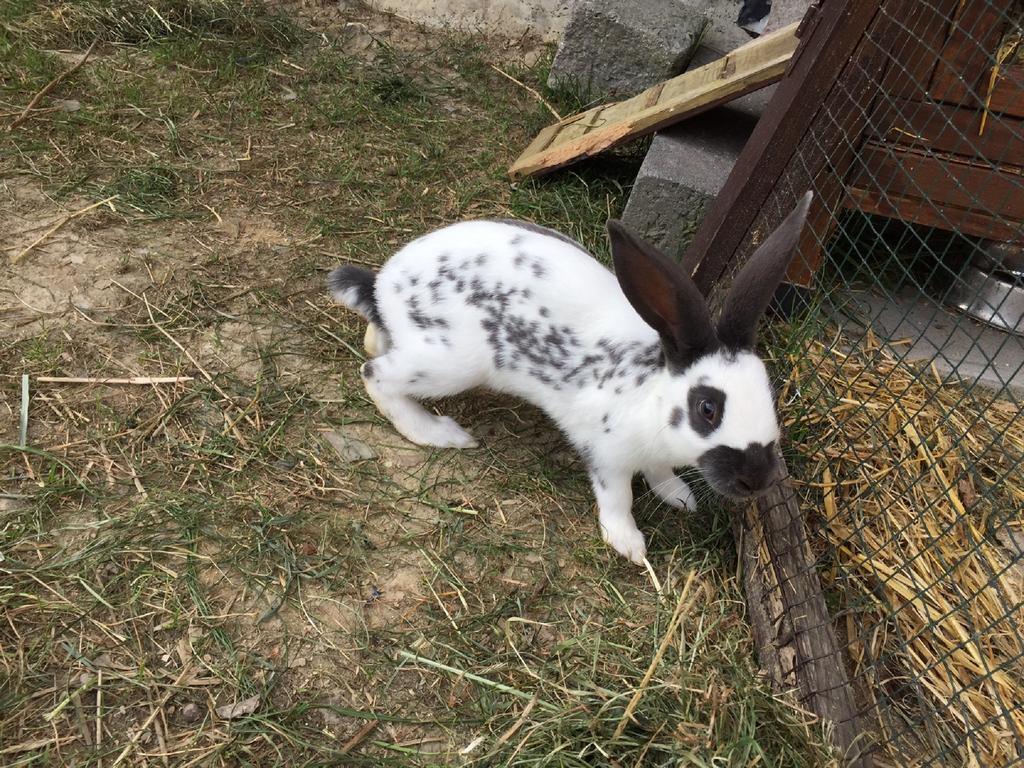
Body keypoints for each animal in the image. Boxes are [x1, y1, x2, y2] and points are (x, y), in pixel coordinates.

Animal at [323, 192, 811, 565]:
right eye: (707, 408)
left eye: (769, 394)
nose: (757, 480)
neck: (652, 397)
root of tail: (385, 287)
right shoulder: (607, 455)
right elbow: (618, 499)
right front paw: (629, 545)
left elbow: (660, 474)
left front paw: (679, 496)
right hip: (450, 363)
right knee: (375, 375)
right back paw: (440, 433)